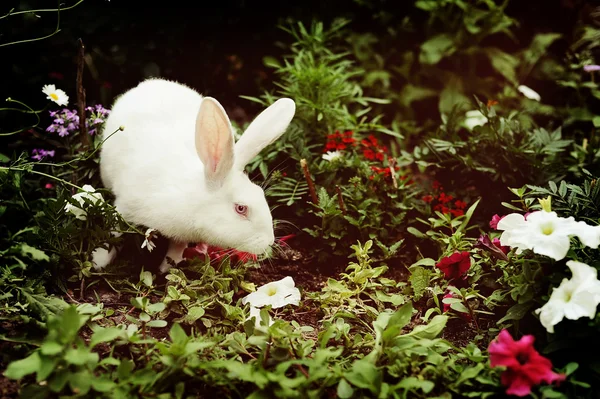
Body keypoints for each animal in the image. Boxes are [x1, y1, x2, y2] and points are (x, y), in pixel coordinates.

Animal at [94, 78, 298, 272]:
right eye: (241, 208)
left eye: (261, 194)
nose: (269, 241)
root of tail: (149, 83)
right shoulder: (125, 208)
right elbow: (113, 235)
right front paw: (98, 261)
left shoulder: (181, 234)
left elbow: (178, 246)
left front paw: (169, 267)